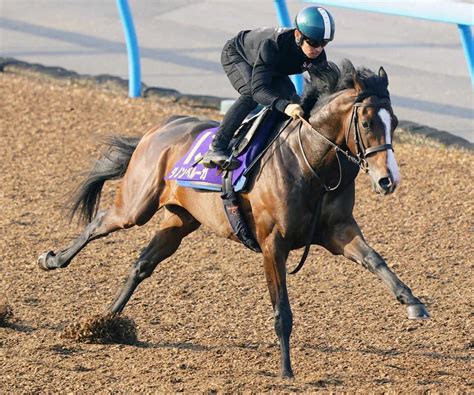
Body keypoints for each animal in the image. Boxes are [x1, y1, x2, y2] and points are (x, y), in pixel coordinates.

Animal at [37, 60, 430, 378]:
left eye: (394, 122)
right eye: (365, 121)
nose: (388, 180)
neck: (311, 164)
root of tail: (159, 129)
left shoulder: (339, 231)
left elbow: (376, 261)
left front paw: (413, 303)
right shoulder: (273, 244)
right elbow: (282, 309)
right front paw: (286, 369)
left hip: (180, 220)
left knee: (142, 264)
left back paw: (107, 321)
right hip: (137, 206)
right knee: (101, 221)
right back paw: (52, 260)